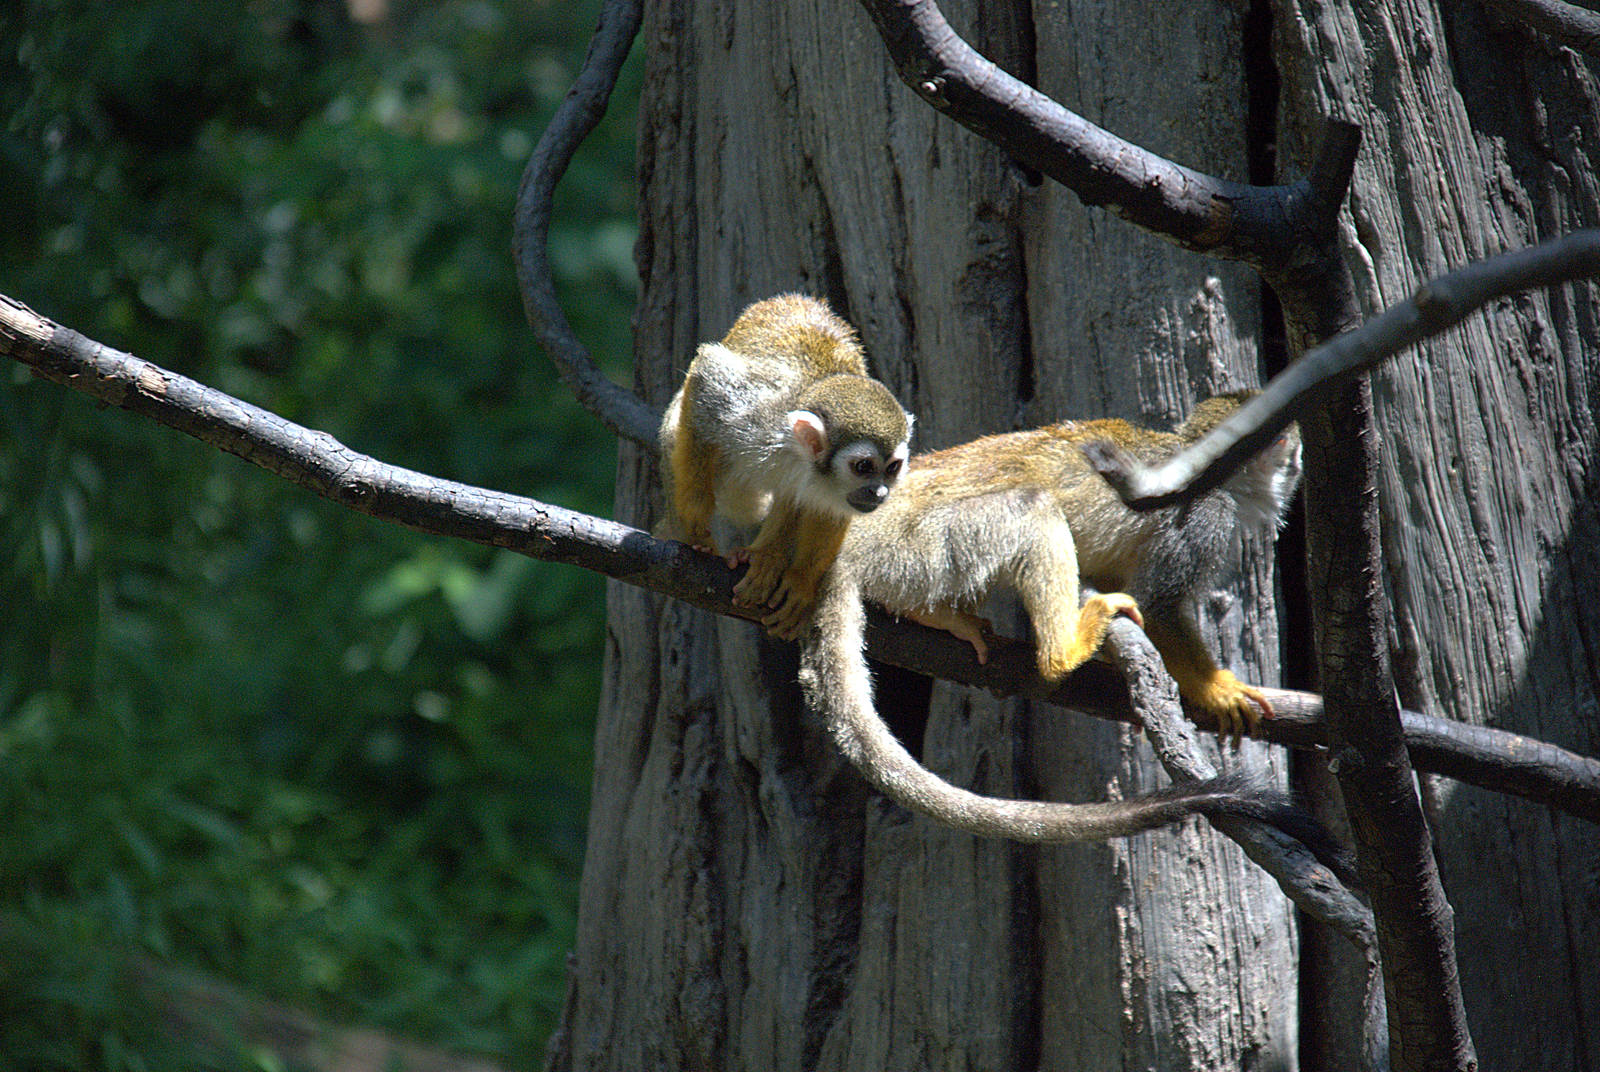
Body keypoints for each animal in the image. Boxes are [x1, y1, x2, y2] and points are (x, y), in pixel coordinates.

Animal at [659, 293, 913, 639]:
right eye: (863, 466)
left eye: (893, 467)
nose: (879, 492)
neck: (798, 455)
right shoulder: (754, 415)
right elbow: (707, 377)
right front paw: (695, 527)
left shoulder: (834, 489)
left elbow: (825, 509)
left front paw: (802, 581)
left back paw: (768, 556)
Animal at [792, 391, 1333, 861]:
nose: (1298, 468)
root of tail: (848, 533)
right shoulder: (1204, 516)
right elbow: (1160, 607)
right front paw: (1217, 688)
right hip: (920, 545)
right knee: (1031, 506)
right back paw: (1062, 652)